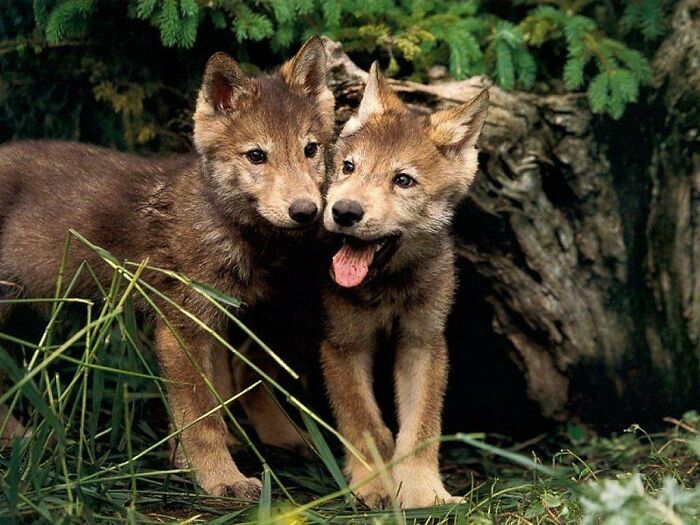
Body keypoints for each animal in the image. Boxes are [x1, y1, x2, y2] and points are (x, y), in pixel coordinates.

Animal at [0, 37, 335, 499]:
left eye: (310, 149)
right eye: (256, 156)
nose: (306, 211)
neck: (221, 224)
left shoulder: (217, 320)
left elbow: (212, 402)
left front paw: (193, 462)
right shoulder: (181, 327)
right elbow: (201, 419)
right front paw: (220, 479)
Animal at [320, 63, 489, 508]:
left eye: (403, 180)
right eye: (348, 167)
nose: (344, 212)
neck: (388, 287)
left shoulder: (423, 342)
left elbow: (421, 429)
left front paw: (422, 492)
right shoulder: (342, 344)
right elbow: (365, 423)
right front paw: (373, 485)